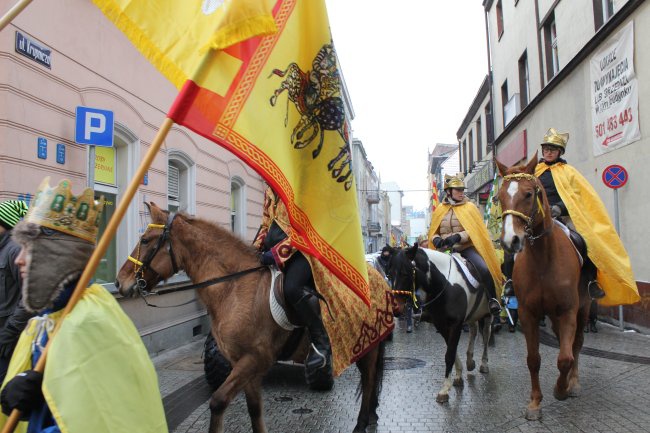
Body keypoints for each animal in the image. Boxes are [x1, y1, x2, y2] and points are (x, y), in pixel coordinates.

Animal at [114, 202, 384, 432]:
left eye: (145, 240)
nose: (119, 282)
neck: (234, 287)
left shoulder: (254, 359)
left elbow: (218, 401)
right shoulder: (245, 364)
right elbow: (255, 410)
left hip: (365, 345)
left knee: (369, 379)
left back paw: (362, 422)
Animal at [494, 154, 588, 420]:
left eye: (528, 194)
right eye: (499, 197)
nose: (510, 241)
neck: (543, 261)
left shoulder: (568, 311)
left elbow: (565, 357)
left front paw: (561, 389)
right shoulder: (528, 314)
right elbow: (533, 359)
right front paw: (535, 403)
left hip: (583, 308)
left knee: (577, 343)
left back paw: (574, 383)